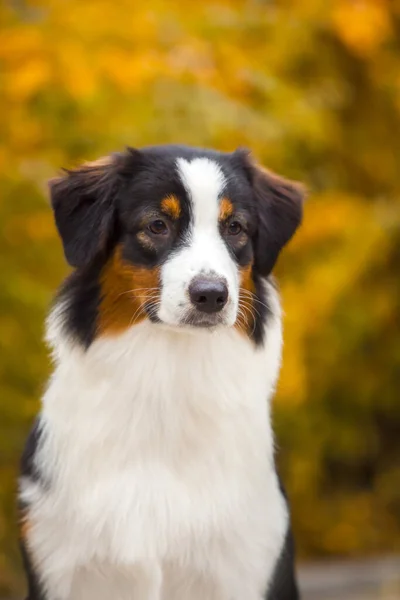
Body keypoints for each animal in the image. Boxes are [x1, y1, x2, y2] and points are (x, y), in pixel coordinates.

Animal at [18, 146, 304, 600]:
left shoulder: (246, 563)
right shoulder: (61, 562)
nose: (211, 295)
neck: (168, 373)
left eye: (235, 227)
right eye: (157, 225)